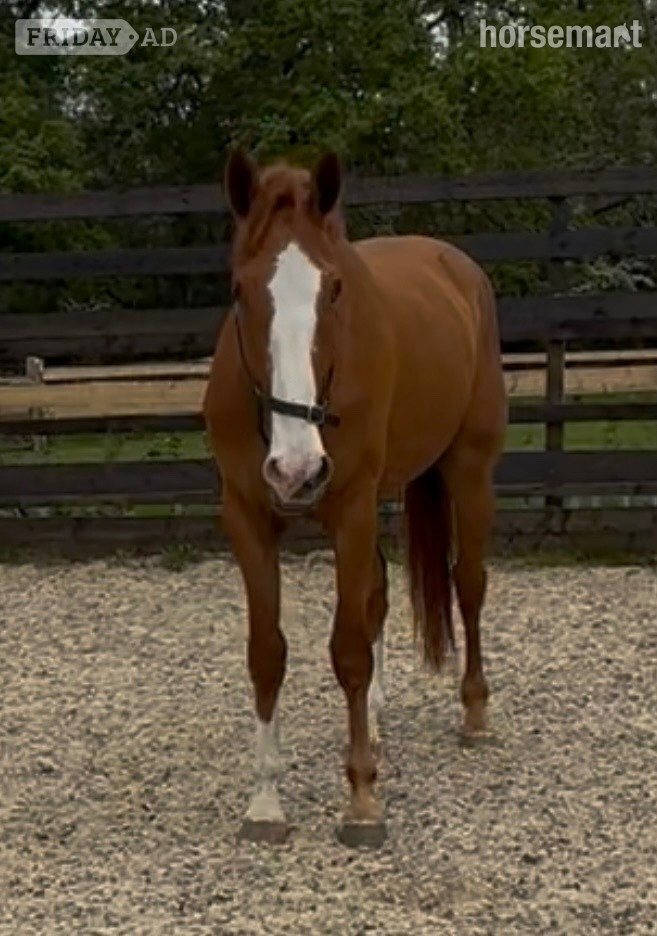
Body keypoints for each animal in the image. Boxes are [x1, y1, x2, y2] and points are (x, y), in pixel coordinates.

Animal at [203, 149, 507, 847]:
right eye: (239, 290)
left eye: (335, 289)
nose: (296, 468)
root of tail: (456, 267)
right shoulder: (248, 517)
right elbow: (268, 653)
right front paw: (266, 802)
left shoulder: (351, 509)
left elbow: (347, 649)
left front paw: (362, 798)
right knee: (381, 595)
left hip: (468, 471)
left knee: (467, 583)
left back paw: (475, 712)